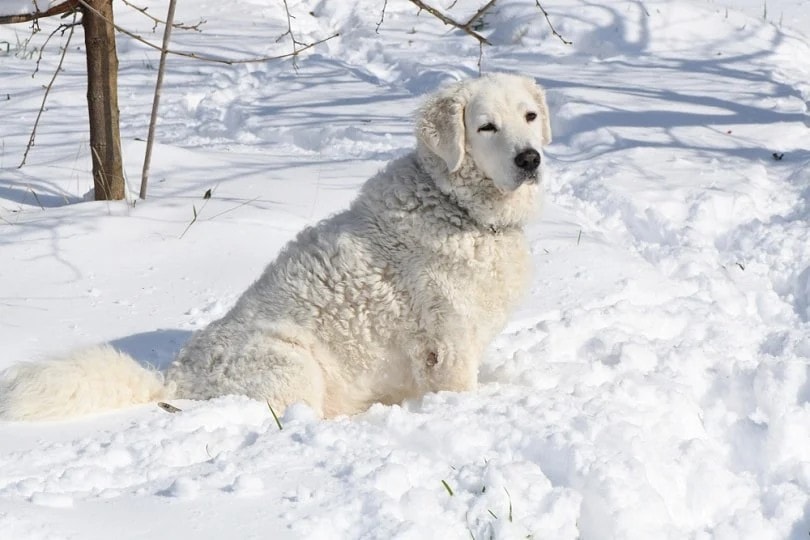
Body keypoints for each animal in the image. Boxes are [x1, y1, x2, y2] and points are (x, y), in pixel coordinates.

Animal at [0, 71, 548, 420]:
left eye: (529, 116)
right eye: (486, 127)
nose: (530, 159)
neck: (458, 208)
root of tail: (176, 383)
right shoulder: (446, 344)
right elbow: (458, 387)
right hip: (293, 363)